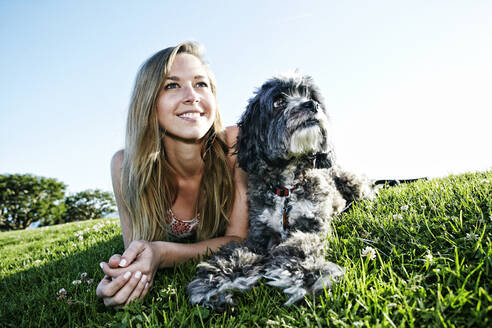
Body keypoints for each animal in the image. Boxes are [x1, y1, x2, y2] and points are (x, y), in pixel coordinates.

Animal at [186, 72, 374, 310]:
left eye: (311, 96)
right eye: (278, 102)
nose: (312, 105)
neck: (286, 188)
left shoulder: (311, 226)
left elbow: (301, 246)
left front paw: (307, 274)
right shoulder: (258, 234)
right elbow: (234, 253)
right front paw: (214, 282)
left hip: (351, 182)